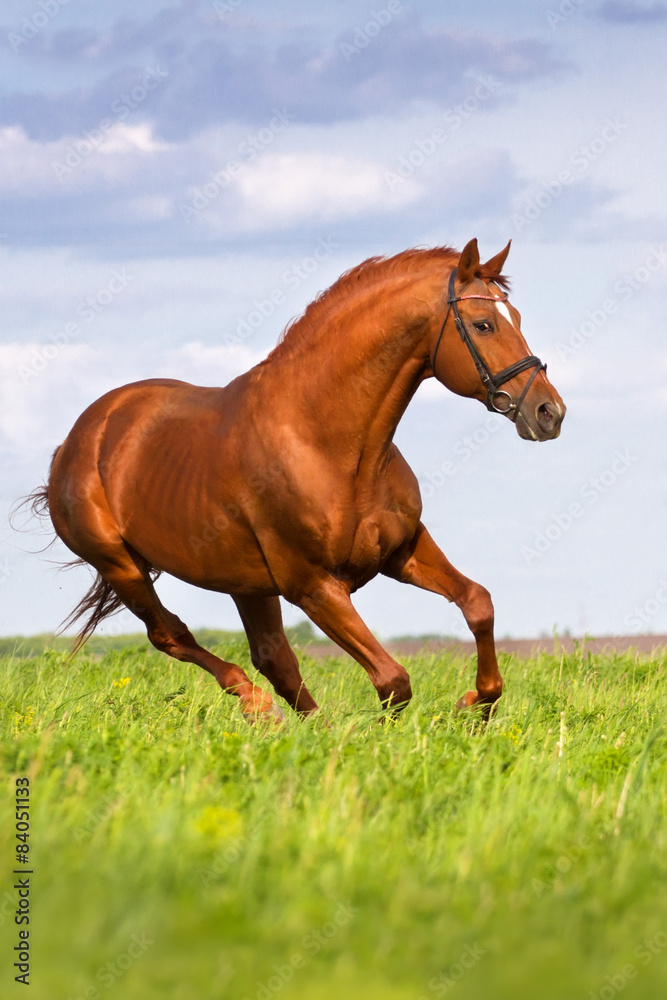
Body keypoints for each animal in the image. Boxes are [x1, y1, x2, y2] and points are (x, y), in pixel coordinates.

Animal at [26, 238, 564, 723]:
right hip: (123, 567)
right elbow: (393, 680)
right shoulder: (313, 585)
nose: (549, 413)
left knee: (273, 659)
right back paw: (259, 707)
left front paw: (477, 704)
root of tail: (76, 441)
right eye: (483, 324)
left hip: (246, 585)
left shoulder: (402, 550)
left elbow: (477, 603)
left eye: (516, 318)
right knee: (174, 636)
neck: (328, 443)